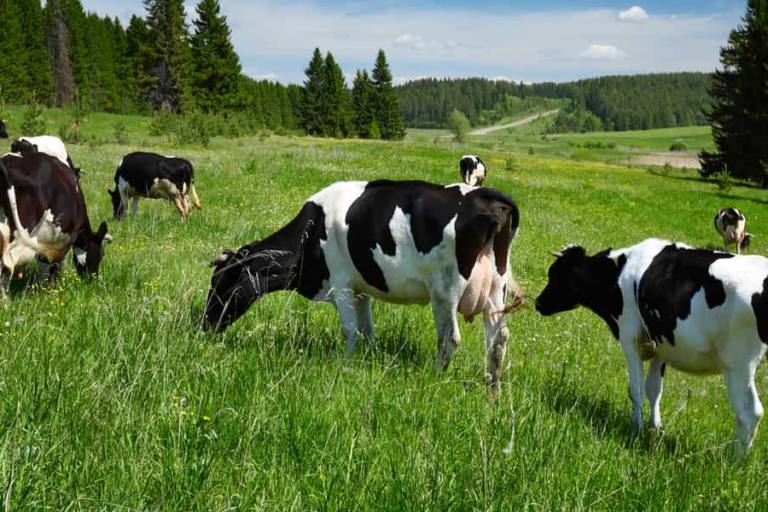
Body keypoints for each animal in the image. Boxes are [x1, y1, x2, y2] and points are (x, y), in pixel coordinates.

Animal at [0, 153, 112, 297]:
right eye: (101, 254)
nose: (93, 281)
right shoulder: (66, 239)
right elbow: (55, 266)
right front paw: (52, 292)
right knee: (8, 263)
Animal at [203, 180, 522, 389]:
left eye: (222, 283)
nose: (204, 325)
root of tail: (489, 196)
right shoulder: (361, 290)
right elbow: (367, 330)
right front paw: (366, 360)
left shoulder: (341, 285)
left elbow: (350, 330)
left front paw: (345, 363)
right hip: (496, 289)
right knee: (499, 338)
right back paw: (492, 387)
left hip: (444, 289)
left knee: (449, 337)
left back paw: (436, 379)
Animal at [535, 237, 768, 455]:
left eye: (554, 274)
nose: (538, 303)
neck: (619, 272)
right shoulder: (660, 345)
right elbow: (654, 389)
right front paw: (656, 428)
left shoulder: (629, 337)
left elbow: (636, 388)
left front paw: (636, 429)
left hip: (738, 365)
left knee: (749, 413)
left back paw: (734, 462)